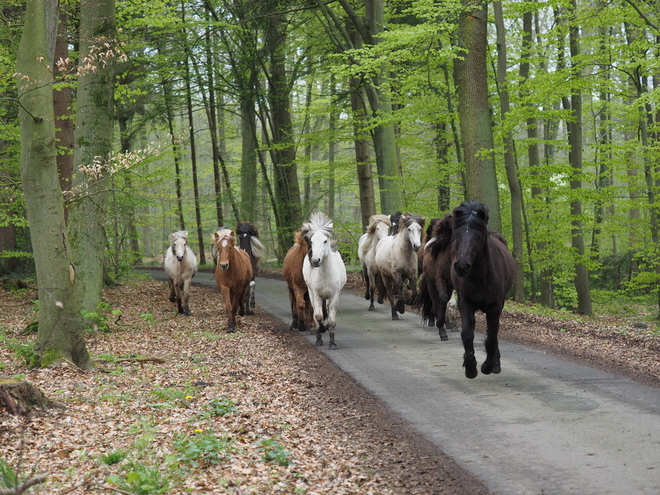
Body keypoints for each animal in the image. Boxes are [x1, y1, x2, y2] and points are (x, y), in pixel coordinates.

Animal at [302, 212, 348, 348]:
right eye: (311, 241)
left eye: (325, 240)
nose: (315, 261)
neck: (325, 275)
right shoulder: (317, 295)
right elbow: (318, 316)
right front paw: (320, 335)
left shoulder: (334, 296)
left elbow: (331, 319)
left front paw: (332, 343)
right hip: (312, 294)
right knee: (317, 314)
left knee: (327, 311)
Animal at [454, 202, 516, 380]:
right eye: (457, 235)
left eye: (478, 237)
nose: (461, 266)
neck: (481, 276)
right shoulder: (465, 303)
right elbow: (467, 334)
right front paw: (470, 368)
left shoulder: (495, 307)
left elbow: (491, 337)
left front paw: (488, 366)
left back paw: (495, 363)